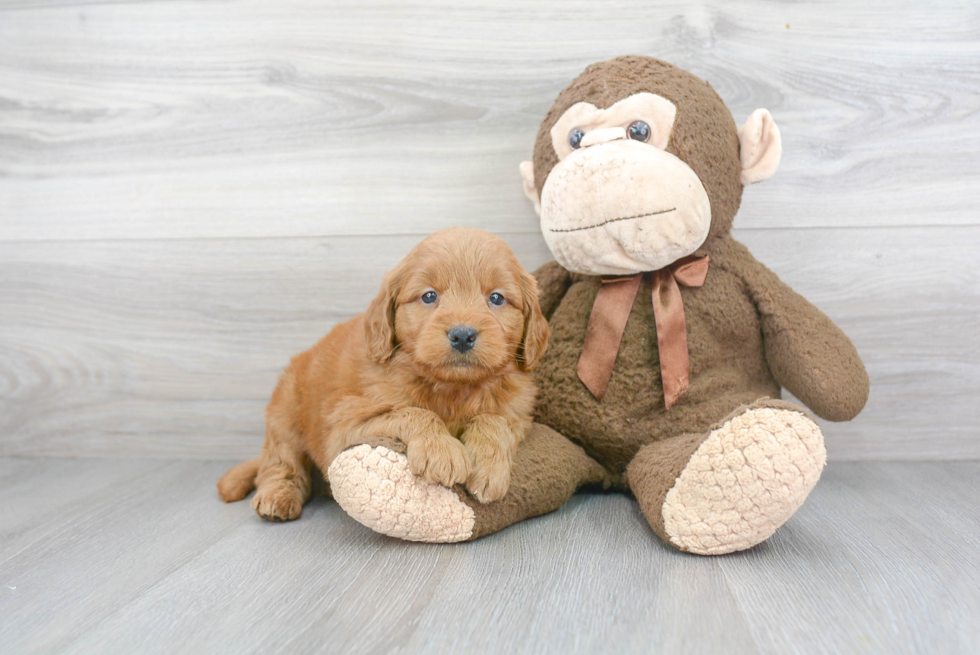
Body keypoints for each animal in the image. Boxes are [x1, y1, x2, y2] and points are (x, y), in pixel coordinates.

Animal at [217, 228, 548, 520]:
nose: (463, 335)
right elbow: (413, 412)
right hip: (285, 412)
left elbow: (494, 419)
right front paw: (440, 450)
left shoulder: (518, 413)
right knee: (280, 462)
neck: (452, 388)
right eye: (429, 296)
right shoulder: (345, 421)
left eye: (497, 298)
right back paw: (277, 496)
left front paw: (487, 465)